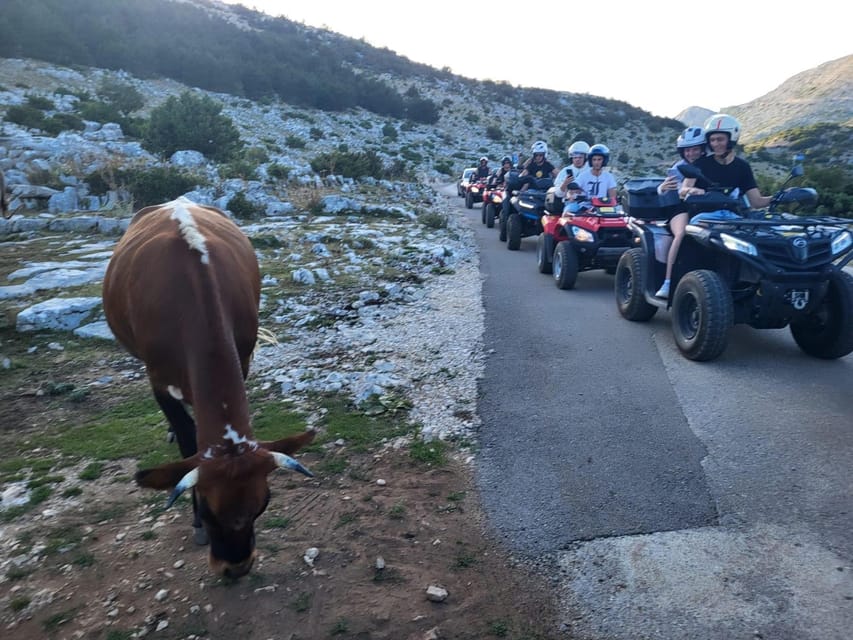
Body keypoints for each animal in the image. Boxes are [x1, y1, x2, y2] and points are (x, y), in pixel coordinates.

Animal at [100, 198, 312, 576]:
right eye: (209, 510)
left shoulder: (242, 359)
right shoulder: (158, 380)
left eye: (263, 503)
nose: (236, 567)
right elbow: (187, 439)